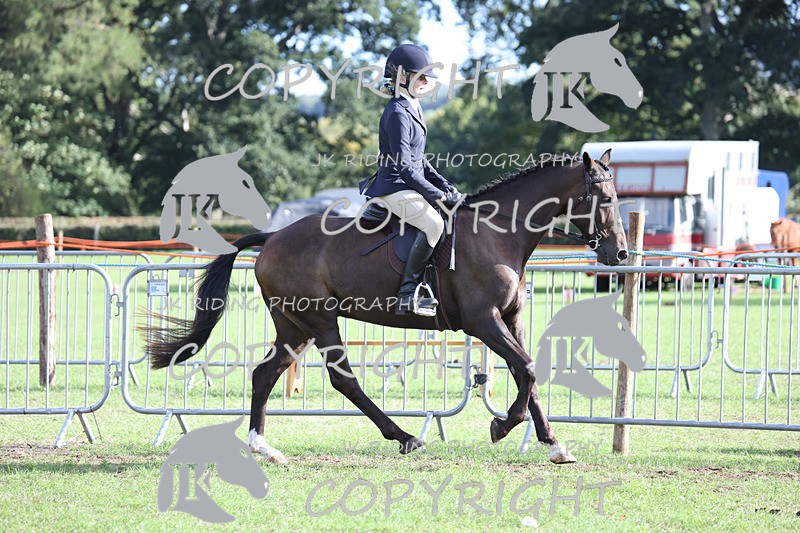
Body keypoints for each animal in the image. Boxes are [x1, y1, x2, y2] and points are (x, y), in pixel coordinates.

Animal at [146, 149, 628, 465]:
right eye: (605, 200)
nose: (620, 255)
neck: (497, 231)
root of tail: (273, 237)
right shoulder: (483, 322)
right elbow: (525, 368)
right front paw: (502, 426)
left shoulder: (510, 319)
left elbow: (526, 370)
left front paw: (553, 442)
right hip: (320, 321)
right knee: (344, 381)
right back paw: (405, 436)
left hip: (293, 326)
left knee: (265, 374)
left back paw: (263, 446)